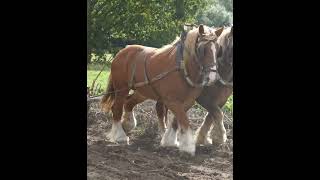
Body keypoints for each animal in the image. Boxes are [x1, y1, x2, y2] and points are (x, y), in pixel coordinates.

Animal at [101, 24, 224, 155]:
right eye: (201, 49)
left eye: (218, 50)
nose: (212, 77)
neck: (182, 68)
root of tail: (121, 52)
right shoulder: (172, 101)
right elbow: (184, 121)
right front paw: (188, 147)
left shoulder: (187, 102)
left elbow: (176, 121)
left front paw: (169, 141)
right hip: (121, 88)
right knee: (117, 108)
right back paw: (120, 136)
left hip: (142, 91)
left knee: (128, 102)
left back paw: (128, 124)